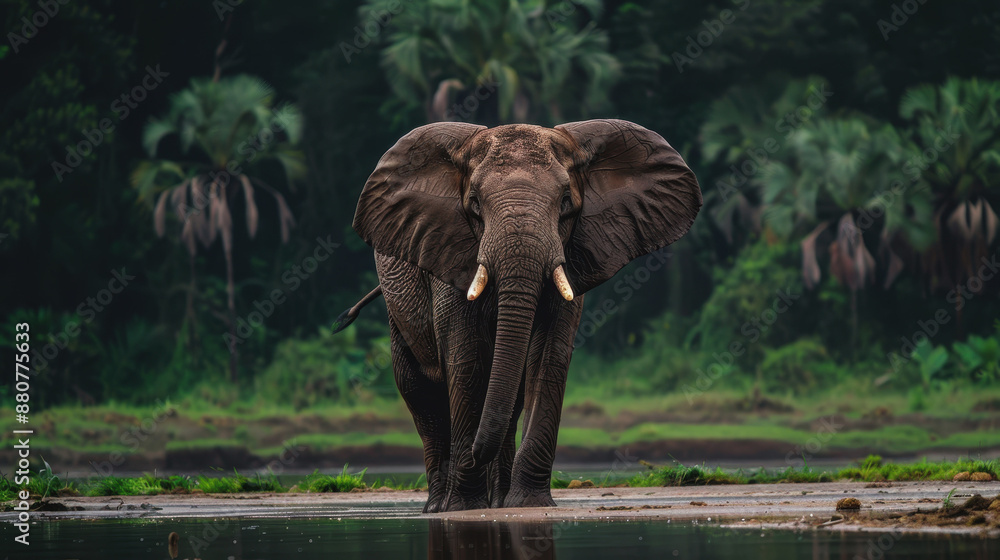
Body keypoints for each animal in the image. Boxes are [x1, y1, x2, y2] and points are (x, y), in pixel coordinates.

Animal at [334, 119, 701, 512]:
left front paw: (528, 504)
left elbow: (548, 357)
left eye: (566, 202)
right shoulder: (448, 250)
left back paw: (497, 502)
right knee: (419, 391)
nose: (474, 454)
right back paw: (439, 505)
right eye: (474, 203)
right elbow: (466, 358)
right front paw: (464, 508)